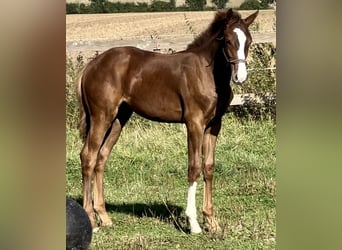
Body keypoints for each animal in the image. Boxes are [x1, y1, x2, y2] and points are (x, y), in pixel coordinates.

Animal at [77, 8, 260, 233]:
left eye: (249, 41)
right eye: (227, 40)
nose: (240, 77)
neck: (207, 73)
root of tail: (91, 65)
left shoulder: (214, 125)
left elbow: (208, 167)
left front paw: (212, 222)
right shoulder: (194, 123)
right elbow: (194, 167)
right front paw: (194, 223)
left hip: (119, 119)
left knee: (101, 158)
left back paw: (104, 216)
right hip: (101, 116)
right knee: (88, 156)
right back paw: (91, 220)